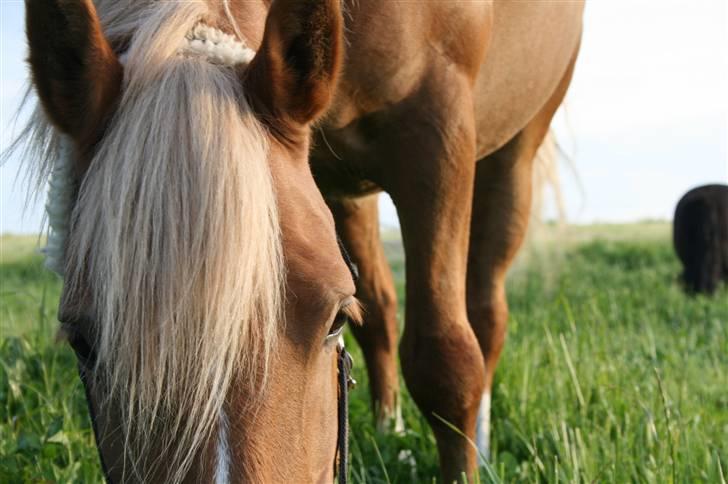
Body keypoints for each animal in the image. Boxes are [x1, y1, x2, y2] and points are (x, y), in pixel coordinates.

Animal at [18, 0, 584, 482]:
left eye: (334, 320)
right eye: (83, 342)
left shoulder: (436, 128)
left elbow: (446, 360)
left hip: (513, 154)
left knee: (485, 314)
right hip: (345, 191)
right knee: (382, 309)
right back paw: (389, 431)